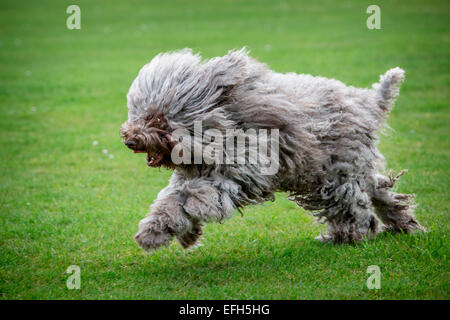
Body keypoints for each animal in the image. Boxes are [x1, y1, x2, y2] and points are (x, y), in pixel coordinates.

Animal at [121, 48, 424, 251]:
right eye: (138, 113)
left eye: (158, 120)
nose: (130, 140)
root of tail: (367, 101)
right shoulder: (196, 172)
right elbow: (171, 199)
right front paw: (160, 232)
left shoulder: (236, 173)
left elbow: (191, 198)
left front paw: (169, 230)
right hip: (344, 168)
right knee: (379, 190)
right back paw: (403, 223)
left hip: (338, 173)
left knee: (353, 204)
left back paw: (350, 236)